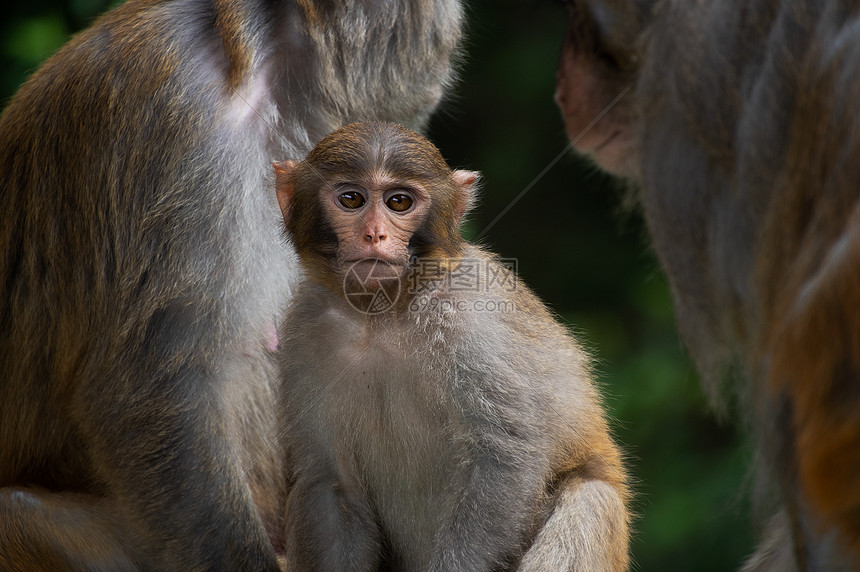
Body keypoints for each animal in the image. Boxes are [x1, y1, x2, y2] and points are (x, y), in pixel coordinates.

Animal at [278, 123, 632, 572]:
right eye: (351, 198)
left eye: (399, 201)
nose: (374, 234)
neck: (382, 314)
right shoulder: (305, 331)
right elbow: (331, 480)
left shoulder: (471, 319)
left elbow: (505, 457)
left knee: (589, 499)